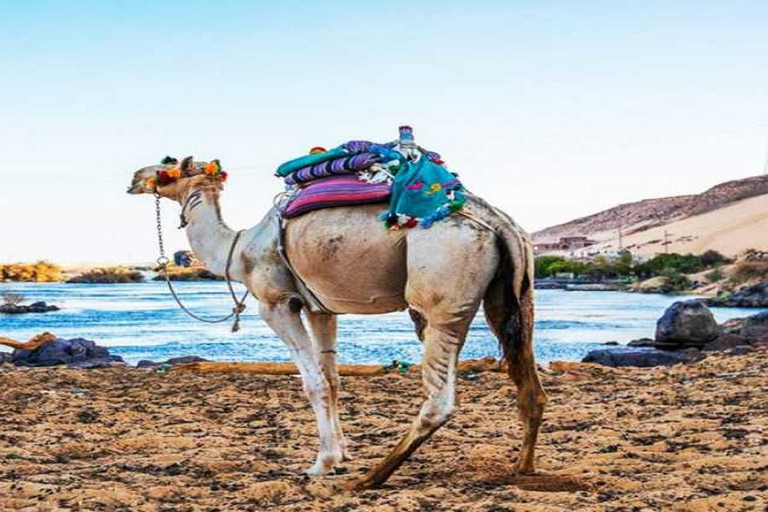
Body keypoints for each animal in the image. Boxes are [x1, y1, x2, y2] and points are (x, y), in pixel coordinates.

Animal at [126, 155, 544, 488]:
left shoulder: (278, 304)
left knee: (439, 399)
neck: (239, 248)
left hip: (444, 292)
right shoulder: (320, 308)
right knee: (529, 383)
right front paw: (341, 454)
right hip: (513, 294)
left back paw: (371, 477)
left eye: (165, 167)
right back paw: (522, 469)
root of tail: (500, 223)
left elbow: (311, 383)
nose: (133, 177)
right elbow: (332, 380)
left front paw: (322, 464)